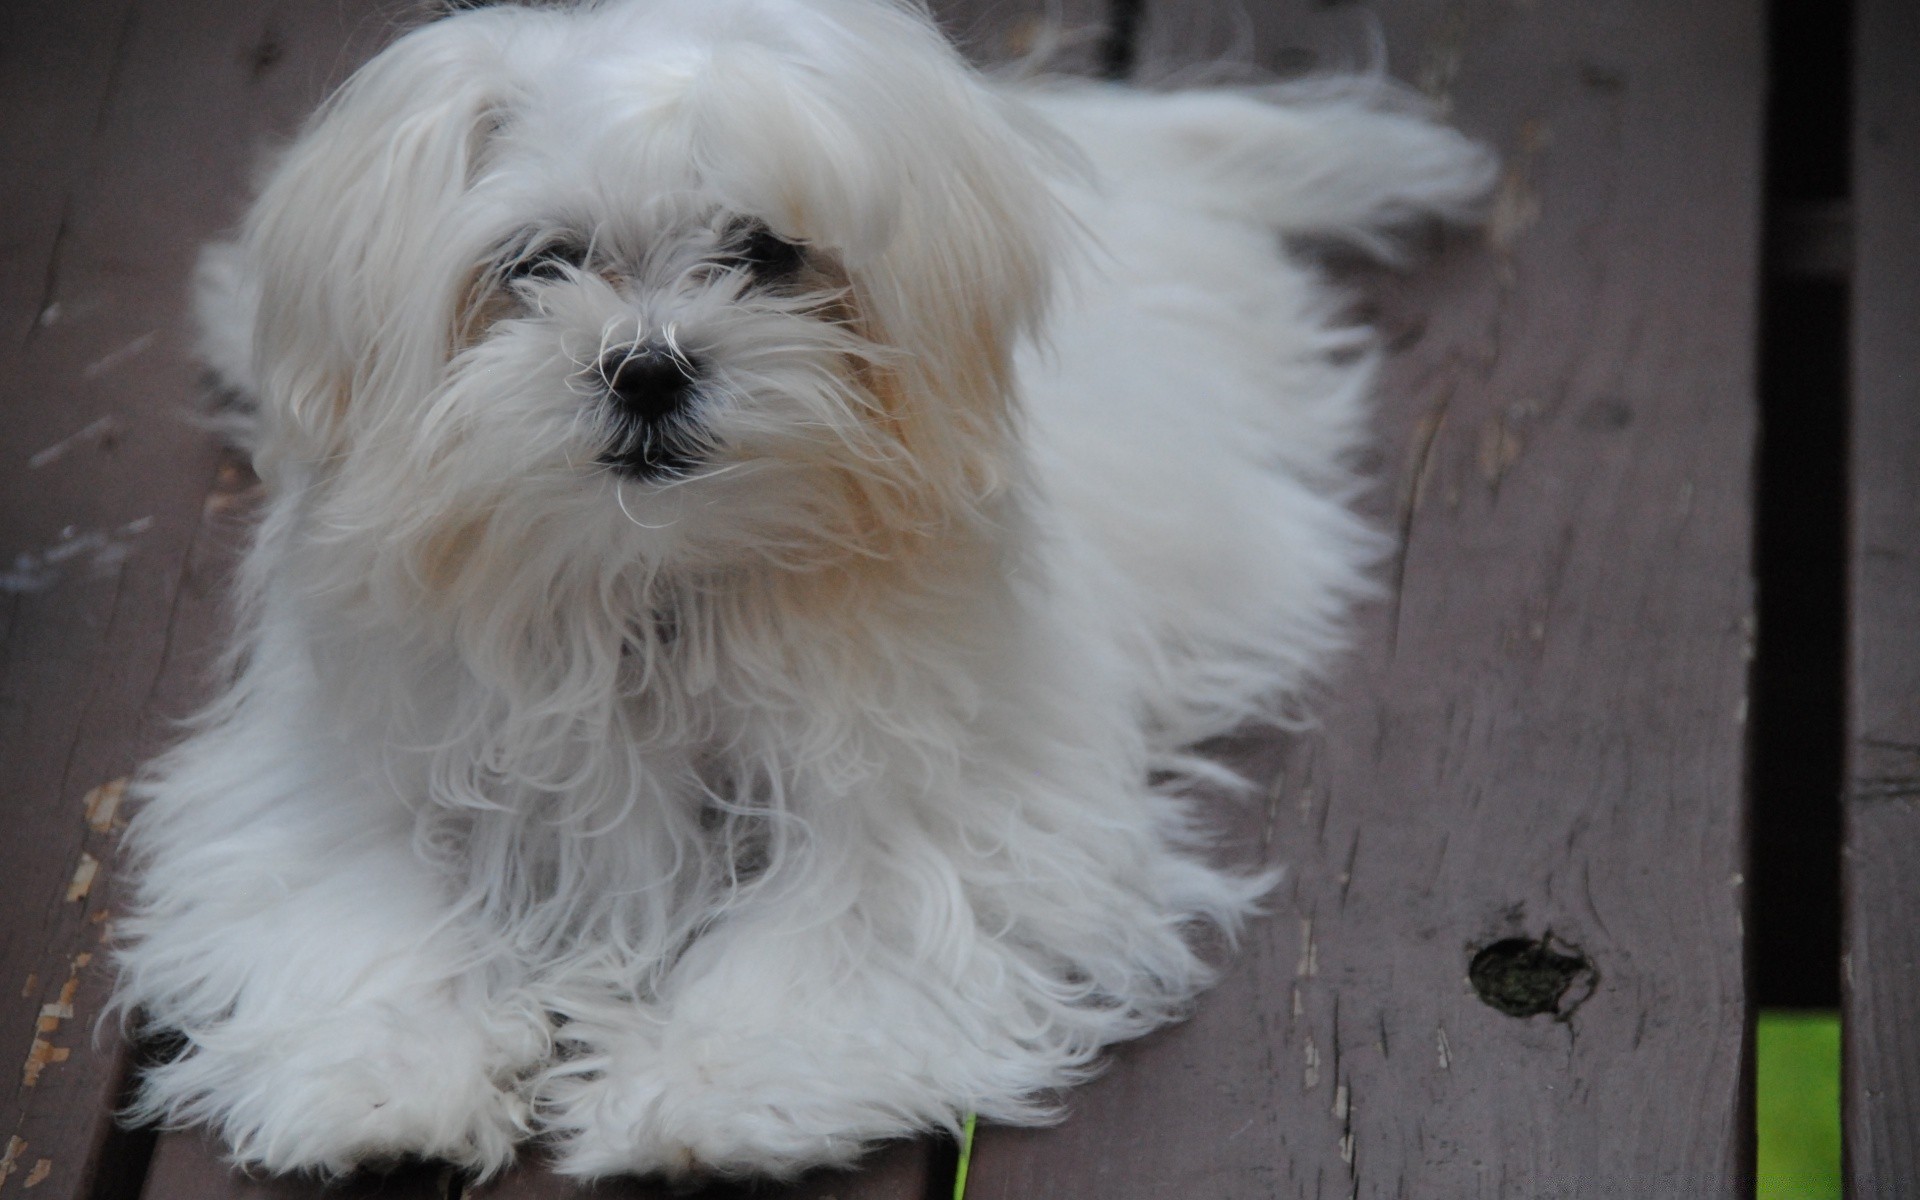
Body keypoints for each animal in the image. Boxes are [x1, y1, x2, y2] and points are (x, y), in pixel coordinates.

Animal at [112, 0, 1497, 1182]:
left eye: (765, 252)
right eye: (541, 261)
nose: (647, 367)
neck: (655, 579)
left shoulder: (930, 809)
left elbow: (839, 929)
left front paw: (707, 1094)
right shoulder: (354, 772)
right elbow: (360, 902)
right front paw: (380, 1083)